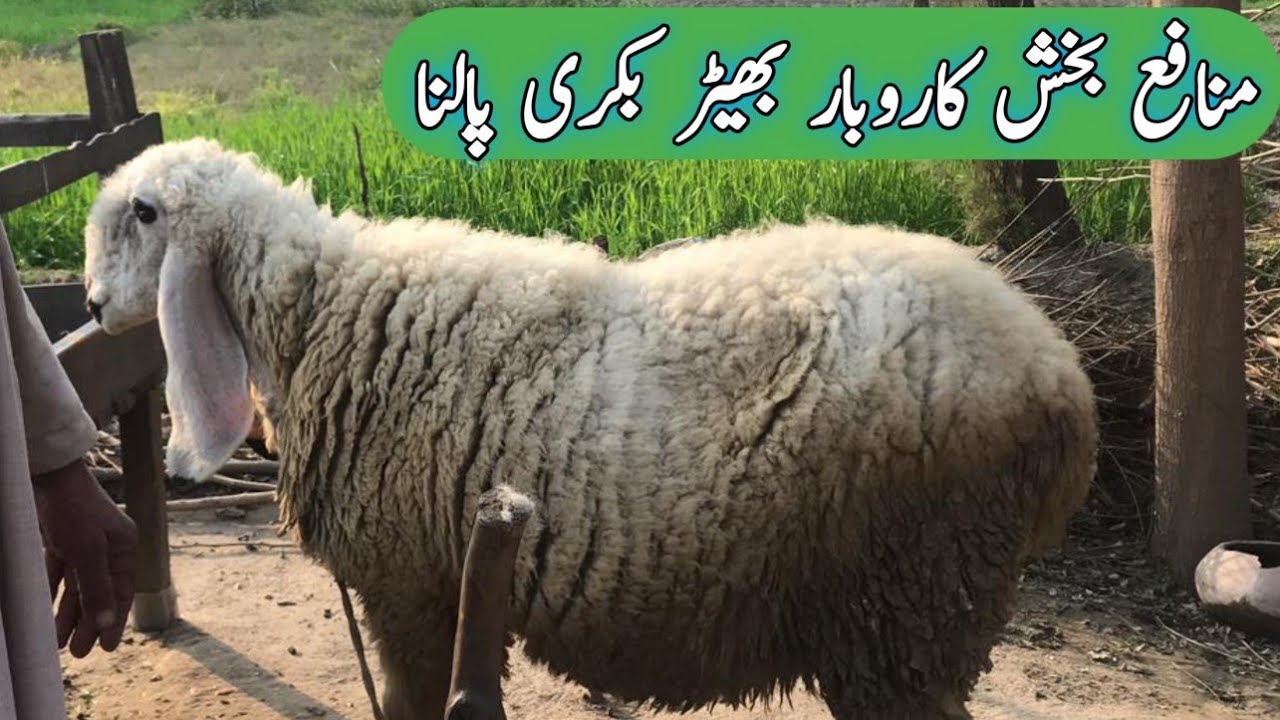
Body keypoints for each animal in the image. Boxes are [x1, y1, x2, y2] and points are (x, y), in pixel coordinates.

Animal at [83, 138, 1098, 720]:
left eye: (142, 218)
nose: (88, 305)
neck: (326, 309)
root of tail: (1062, 378)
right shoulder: (454, 583)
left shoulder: (406, 585)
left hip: (913, 598)